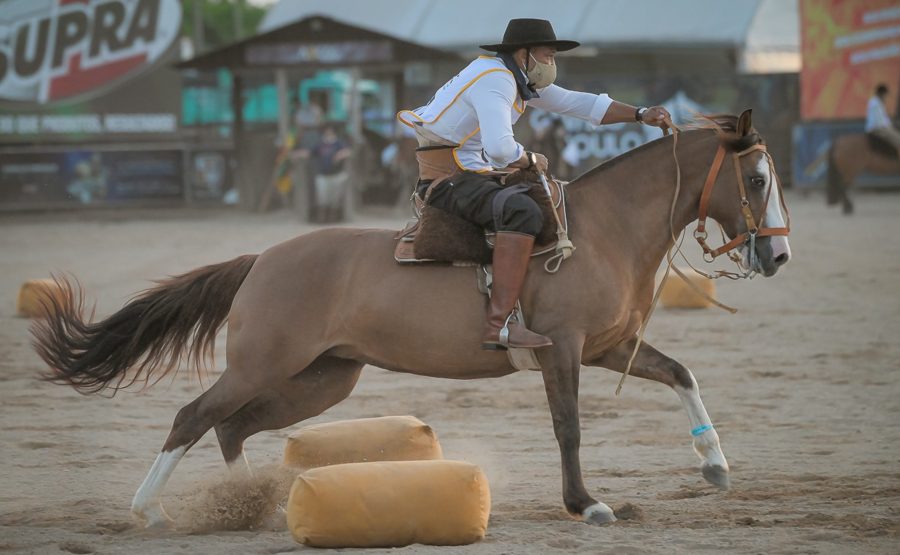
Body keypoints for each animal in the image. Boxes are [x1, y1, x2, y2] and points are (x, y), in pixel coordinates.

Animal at [33, 109, 796, 528]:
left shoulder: (612, 346)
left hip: (324, 378)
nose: (779, 254)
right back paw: (151, 509)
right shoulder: (563, 350)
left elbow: (681, 373)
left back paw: (254, 506)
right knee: (193, 416)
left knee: (231, 425)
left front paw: (715, 464)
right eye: (757, 179)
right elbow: (569, 426)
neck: (603, 228)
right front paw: (586, 503)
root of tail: (261, 259)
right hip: (264, 365)